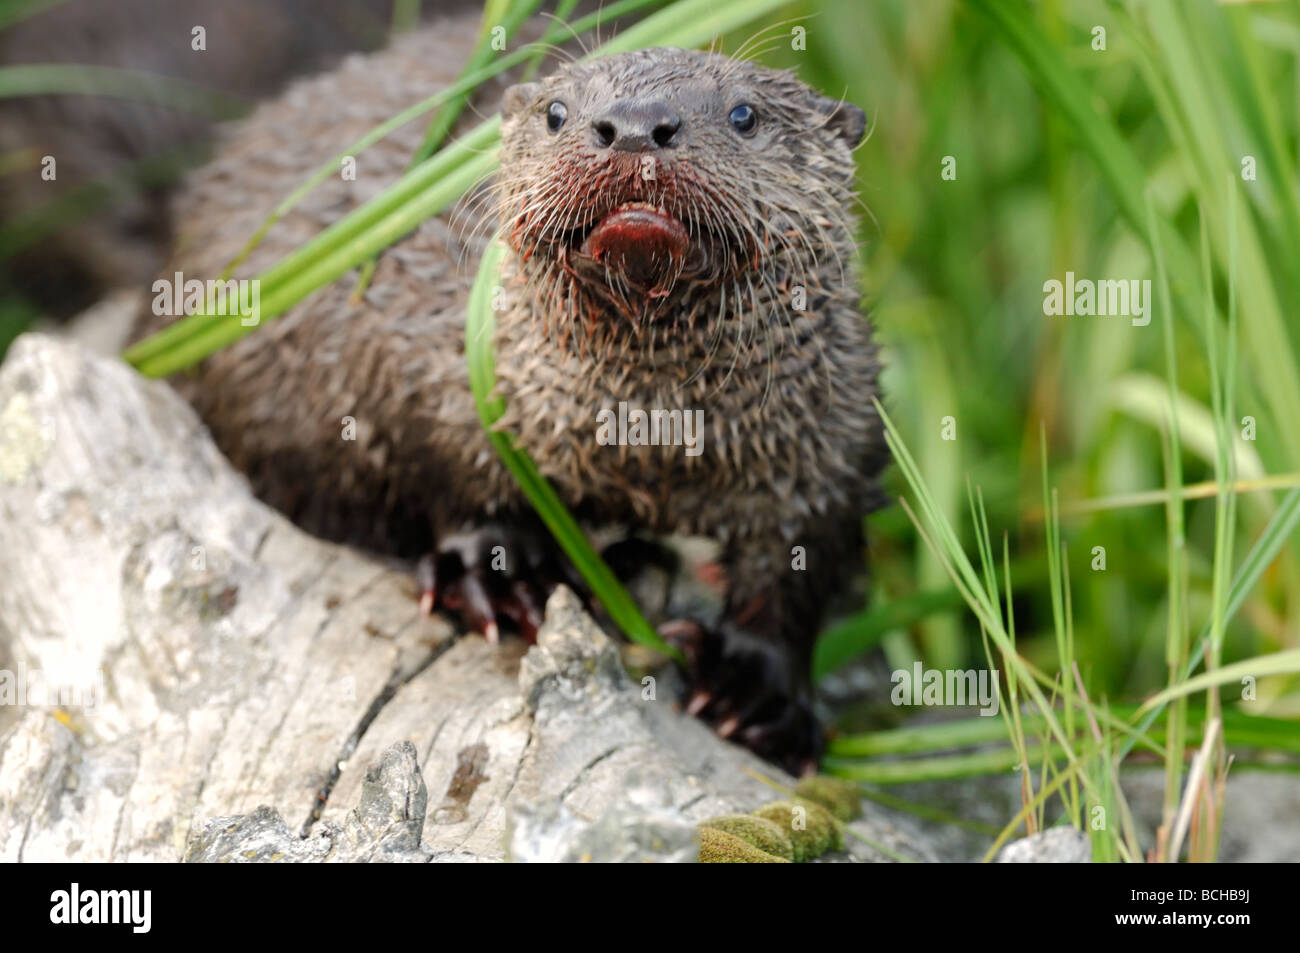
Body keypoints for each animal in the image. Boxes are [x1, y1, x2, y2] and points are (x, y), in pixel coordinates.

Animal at [129, 27, 883, 774]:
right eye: (556, 111)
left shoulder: (833, 437)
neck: (644, 438)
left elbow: (800, 566)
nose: (636, 125)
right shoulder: (421, 354)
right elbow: (447, 461)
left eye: (744, 114)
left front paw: (757, 690)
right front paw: (499, 573)